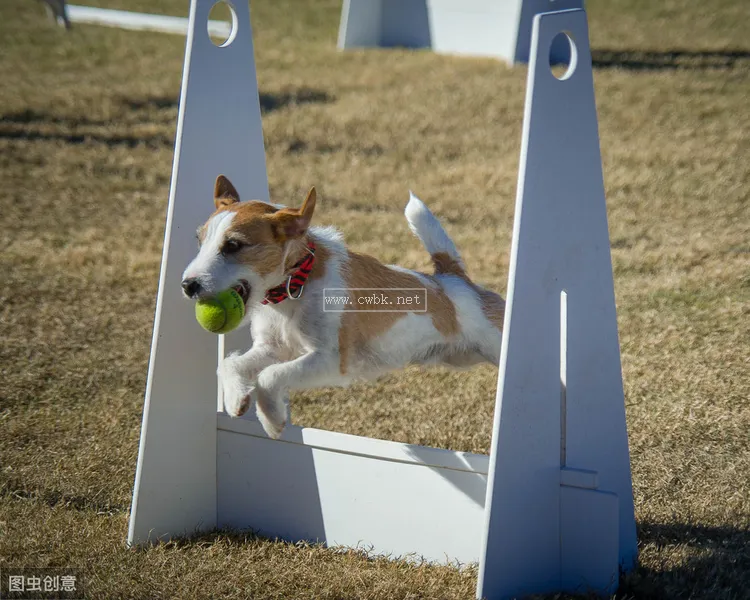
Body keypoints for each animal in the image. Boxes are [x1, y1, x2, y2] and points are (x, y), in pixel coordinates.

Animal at [182, 173, 506, 436]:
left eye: (233, 245)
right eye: (199, 241)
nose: (188, 285)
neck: (295, 286)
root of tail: (453, 279)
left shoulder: (330, 359)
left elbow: (270, 375)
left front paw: (272, 419)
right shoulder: (273, 349)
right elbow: (232, 363)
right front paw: (235, 398)